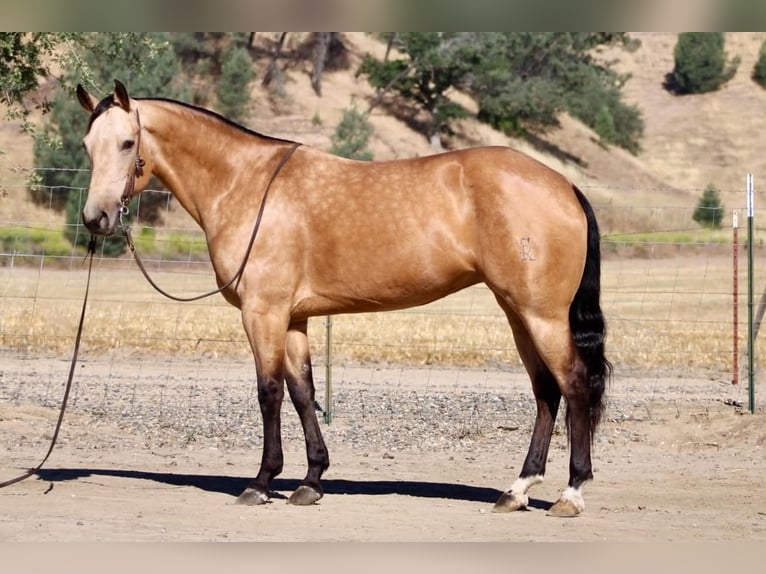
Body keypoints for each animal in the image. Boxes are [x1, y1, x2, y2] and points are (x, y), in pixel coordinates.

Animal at [76, 80, 610, 517]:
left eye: (127, 143)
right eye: (87, 145)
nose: (96, 218)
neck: (246, 183)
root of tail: (564, 185)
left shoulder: (263, 313)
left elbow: (269, 393)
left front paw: (261, 482)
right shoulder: (293, 319)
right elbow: (302, 393)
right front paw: (311, 481)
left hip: (542, 316)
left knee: (574, 385)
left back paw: (571, 493)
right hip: (517, 313)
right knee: (545, 392)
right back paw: (517, 490)